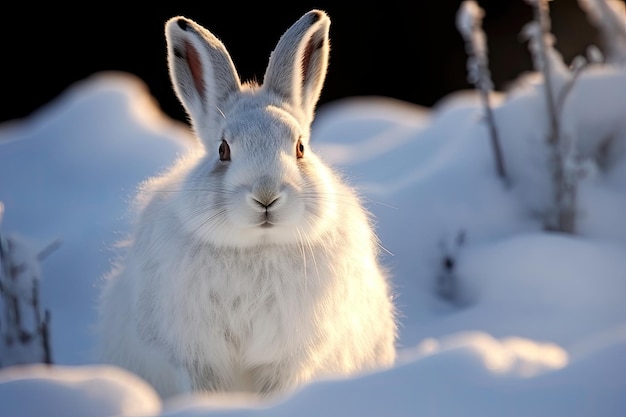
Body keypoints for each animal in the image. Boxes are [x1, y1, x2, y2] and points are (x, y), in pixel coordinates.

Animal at [97, 9, 398, 398]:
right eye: (223, 150)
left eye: (300, 148)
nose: (266, 196)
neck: (257, 247)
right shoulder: (195, 357)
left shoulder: (290, 356)